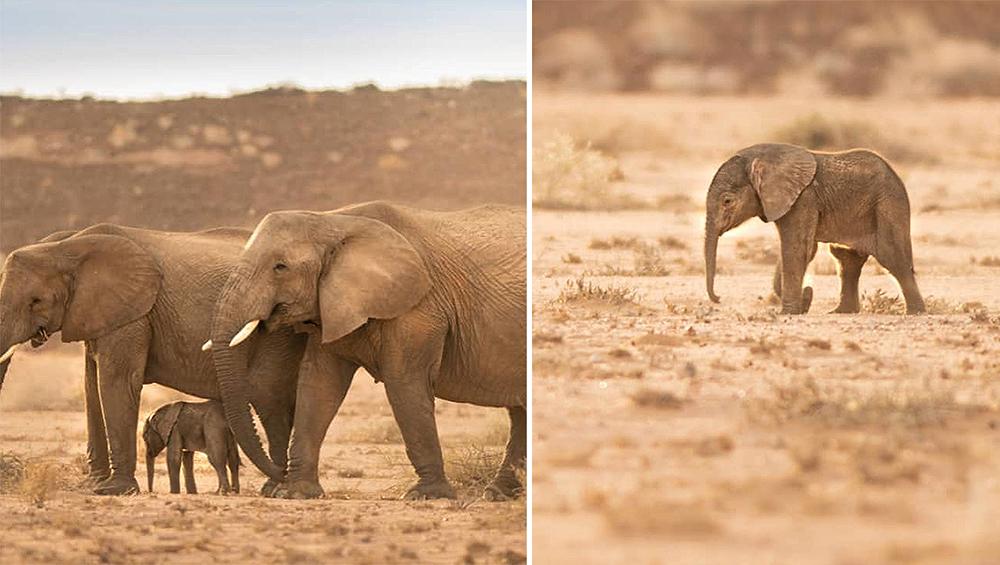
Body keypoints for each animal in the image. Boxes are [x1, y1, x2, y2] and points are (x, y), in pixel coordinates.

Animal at [0, 225, 304, 494]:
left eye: (36, 301)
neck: (66, 246)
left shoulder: (134, 314)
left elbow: (117, 382)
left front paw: (115, 490)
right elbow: (91, 387)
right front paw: (93, 486)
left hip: (277, 333)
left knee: (269, 398)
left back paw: (275, 487)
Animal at [206, 202, 528, 498]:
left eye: (280, 267)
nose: (277, 475)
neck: (334, 221)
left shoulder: (418, 307)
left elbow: (404, 383)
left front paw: (426, 495)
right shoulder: (333, 303)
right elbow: (318, 384)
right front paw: (295, 493)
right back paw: (498, 494)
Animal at [700, 143, 924, 316]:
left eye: (727, 201)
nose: (718, 297)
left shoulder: (803, 199)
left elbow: (797, 249)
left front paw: (789, 312)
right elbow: (803, 249)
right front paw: (803, 302)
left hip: (887, 204)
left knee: (891, 256)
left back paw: (915, 312)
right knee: (845, 258)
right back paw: (841, 312)